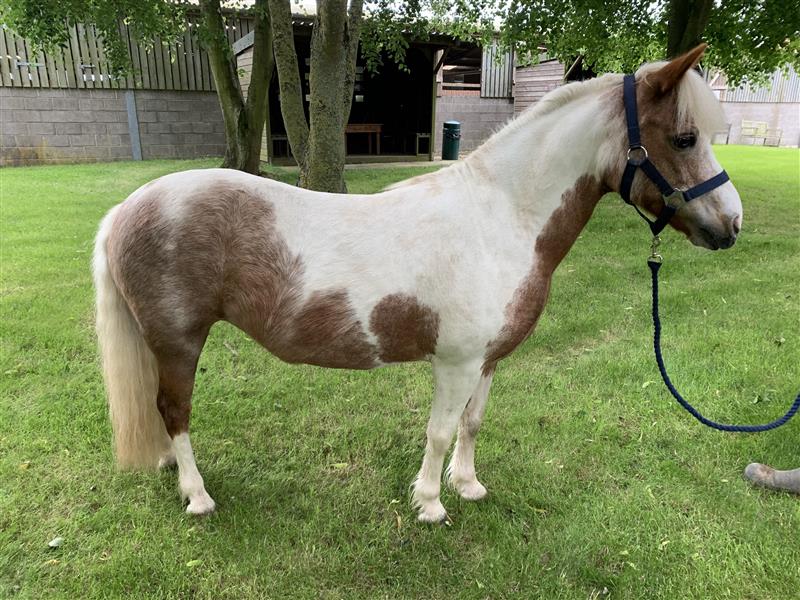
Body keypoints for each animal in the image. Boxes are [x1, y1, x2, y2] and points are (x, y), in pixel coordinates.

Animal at [93, 44, 742, 521]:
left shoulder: (486, 361)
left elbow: (471, 425)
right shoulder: (455, 362)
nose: (730, 226)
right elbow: (439, 430)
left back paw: (171, 473)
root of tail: (126, 209)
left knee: (161, 408)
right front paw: (430, 503)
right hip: (181, 340)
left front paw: (468, 486)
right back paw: (198, 495)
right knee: (174, 408)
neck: (500, 217)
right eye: (685, 137)